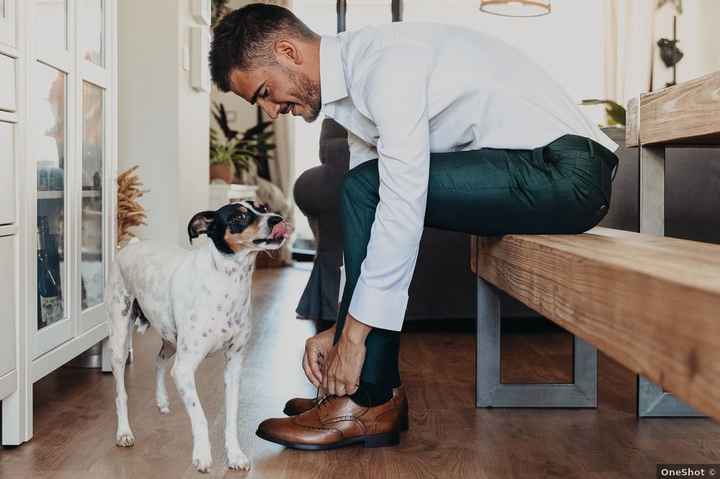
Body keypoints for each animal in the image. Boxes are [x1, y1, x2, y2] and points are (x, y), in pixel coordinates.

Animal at [106, 202, 290, 472]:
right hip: (120, 338)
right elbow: (200, 417)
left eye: (263, 207)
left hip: (171, 339)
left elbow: (231, 418)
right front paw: (202, 455)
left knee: (159, 360)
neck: (228, 283)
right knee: (121, 392)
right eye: (239, 216)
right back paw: (124, 433)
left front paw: (235, 455)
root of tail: (132, 244)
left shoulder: (233, 367)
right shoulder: (184, 370)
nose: (277, 219)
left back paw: (162, 400)